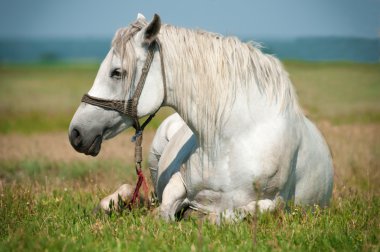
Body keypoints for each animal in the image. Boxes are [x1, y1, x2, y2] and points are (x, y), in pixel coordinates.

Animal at [68, 13, 332, 220]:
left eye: (117, 72)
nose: (76, 133)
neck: (233, 140)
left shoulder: (274, 202)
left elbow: (227, 216)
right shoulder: (177, 181)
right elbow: (164, 209)